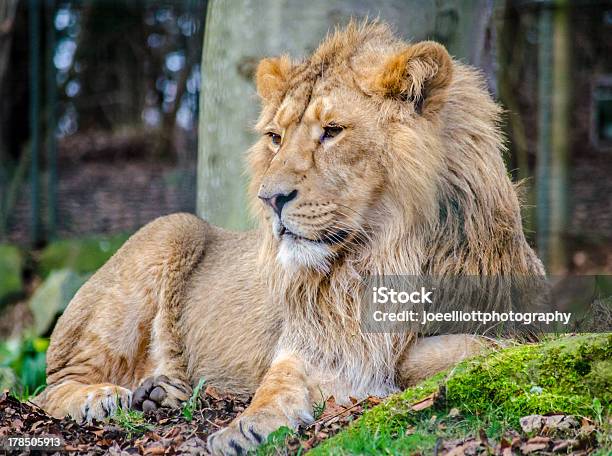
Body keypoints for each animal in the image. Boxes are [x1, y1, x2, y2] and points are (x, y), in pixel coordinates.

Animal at [34, 22, 540, 456]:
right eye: (275, 137)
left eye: (332, 131)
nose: (270, 198)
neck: (377, 255)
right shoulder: (307, 338)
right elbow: (278, 383)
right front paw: (243, 429)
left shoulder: (515, 328)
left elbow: (458, 349)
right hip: (172, 229)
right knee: (49, 387)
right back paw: (105, 397)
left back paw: (161, 391)